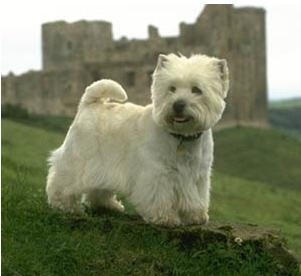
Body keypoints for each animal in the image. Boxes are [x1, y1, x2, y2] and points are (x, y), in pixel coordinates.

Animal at [46, 54, 227, 226]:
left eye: (196, 89)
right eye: (172, 88)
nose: (178, 105)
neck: (182, 137)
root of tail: (90, 104)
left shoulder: (198, 175)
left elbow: (196, 197)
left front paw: (195, 216)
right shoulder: (157, 172)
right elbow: (159, 196)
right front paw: (165, 218)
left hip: (101, 168)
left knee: (97, 190)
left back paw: (109, 206)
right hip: (80, 159)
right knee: (62, 182)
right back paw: (65, 205)